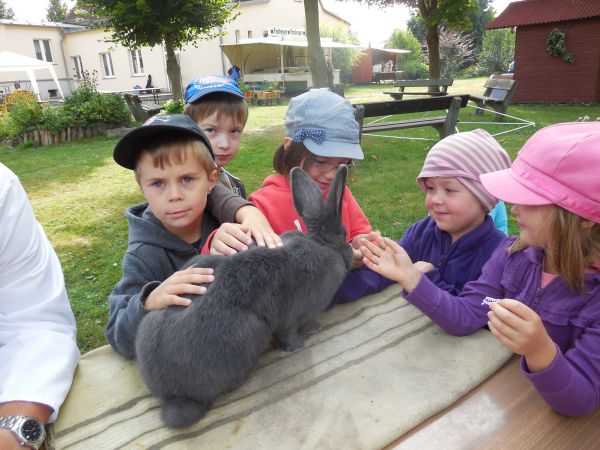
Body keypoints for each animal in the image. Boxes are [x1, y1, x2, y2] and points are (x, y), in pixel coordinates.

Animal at [136, 164, 354, 428]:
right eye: (344, 235)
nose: (351, 250)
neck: (322, 244)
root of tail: (173, 394)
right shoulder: (292, 318)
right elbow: (291, 333)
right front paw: (305, 338)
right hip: (249, 332)